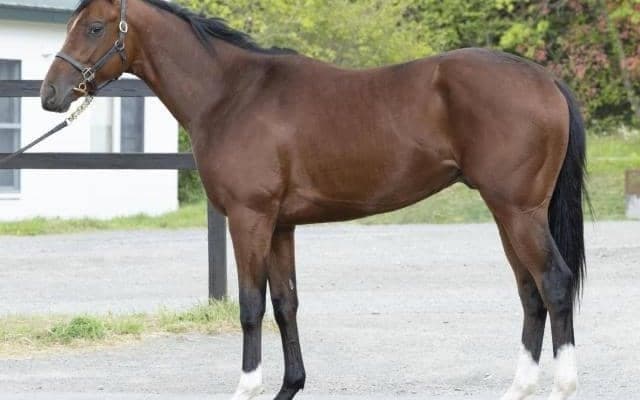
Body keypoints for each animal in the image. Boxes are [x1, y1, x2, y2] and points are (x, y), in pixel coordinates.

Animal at [40, 1, 588, 399]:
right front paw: (290, 386)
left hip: (518, 213)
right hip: (507, 214)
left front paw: (247, 388)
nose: (51, 95)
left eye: (93, 27)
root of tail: (546, 80)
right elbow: (286, 305)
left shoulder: (249, 219)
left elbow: (250, 305)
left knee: (554, 284)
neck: (232, 94)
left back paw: (562, 386)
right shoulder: (281, 225)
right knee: (530, 293)